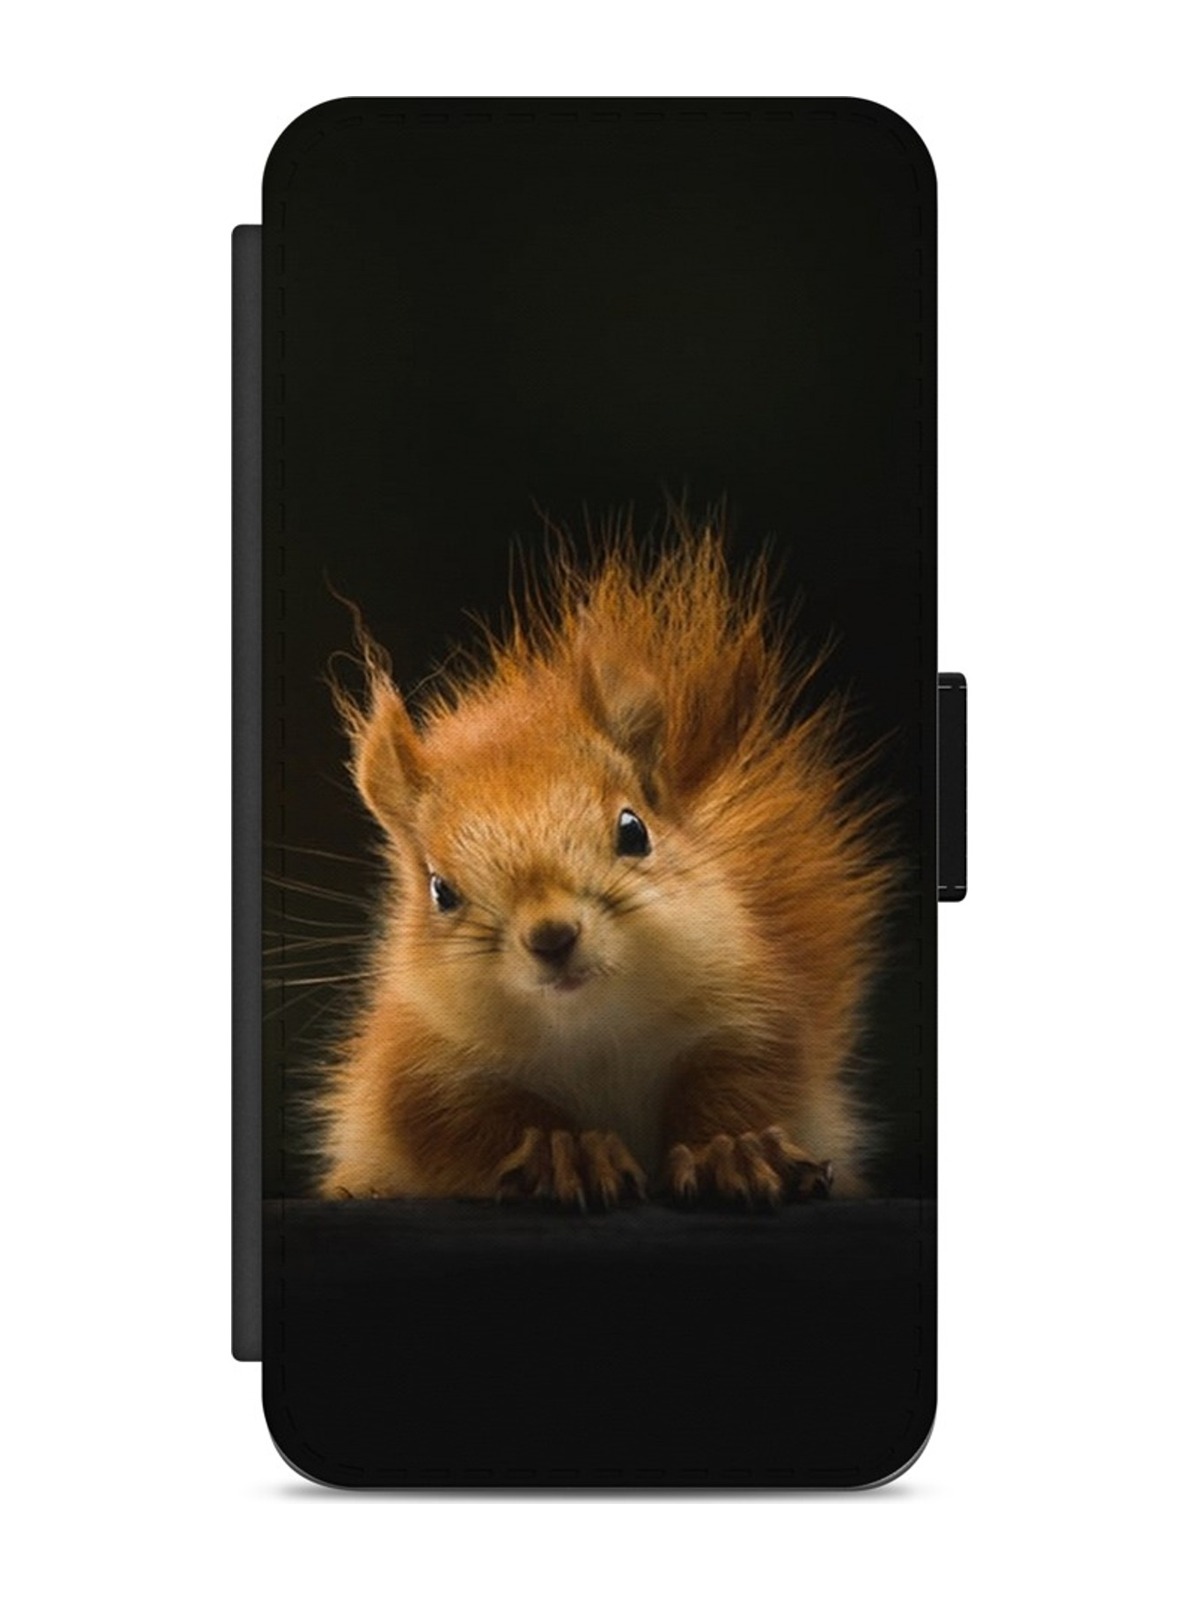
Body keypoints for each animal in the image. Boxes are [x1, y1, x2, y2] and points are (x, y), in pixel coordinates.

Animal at [315, 513, 895, 1208]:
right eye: (440, 890)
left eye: (633, 831)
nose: (552, 936)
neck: (591, 1031)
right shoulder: (420, 1067)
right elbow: (468, 1124)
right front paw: (565, 1152)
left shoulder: (750, 1013)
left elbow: (744, 1085)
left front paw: (732, 1149)